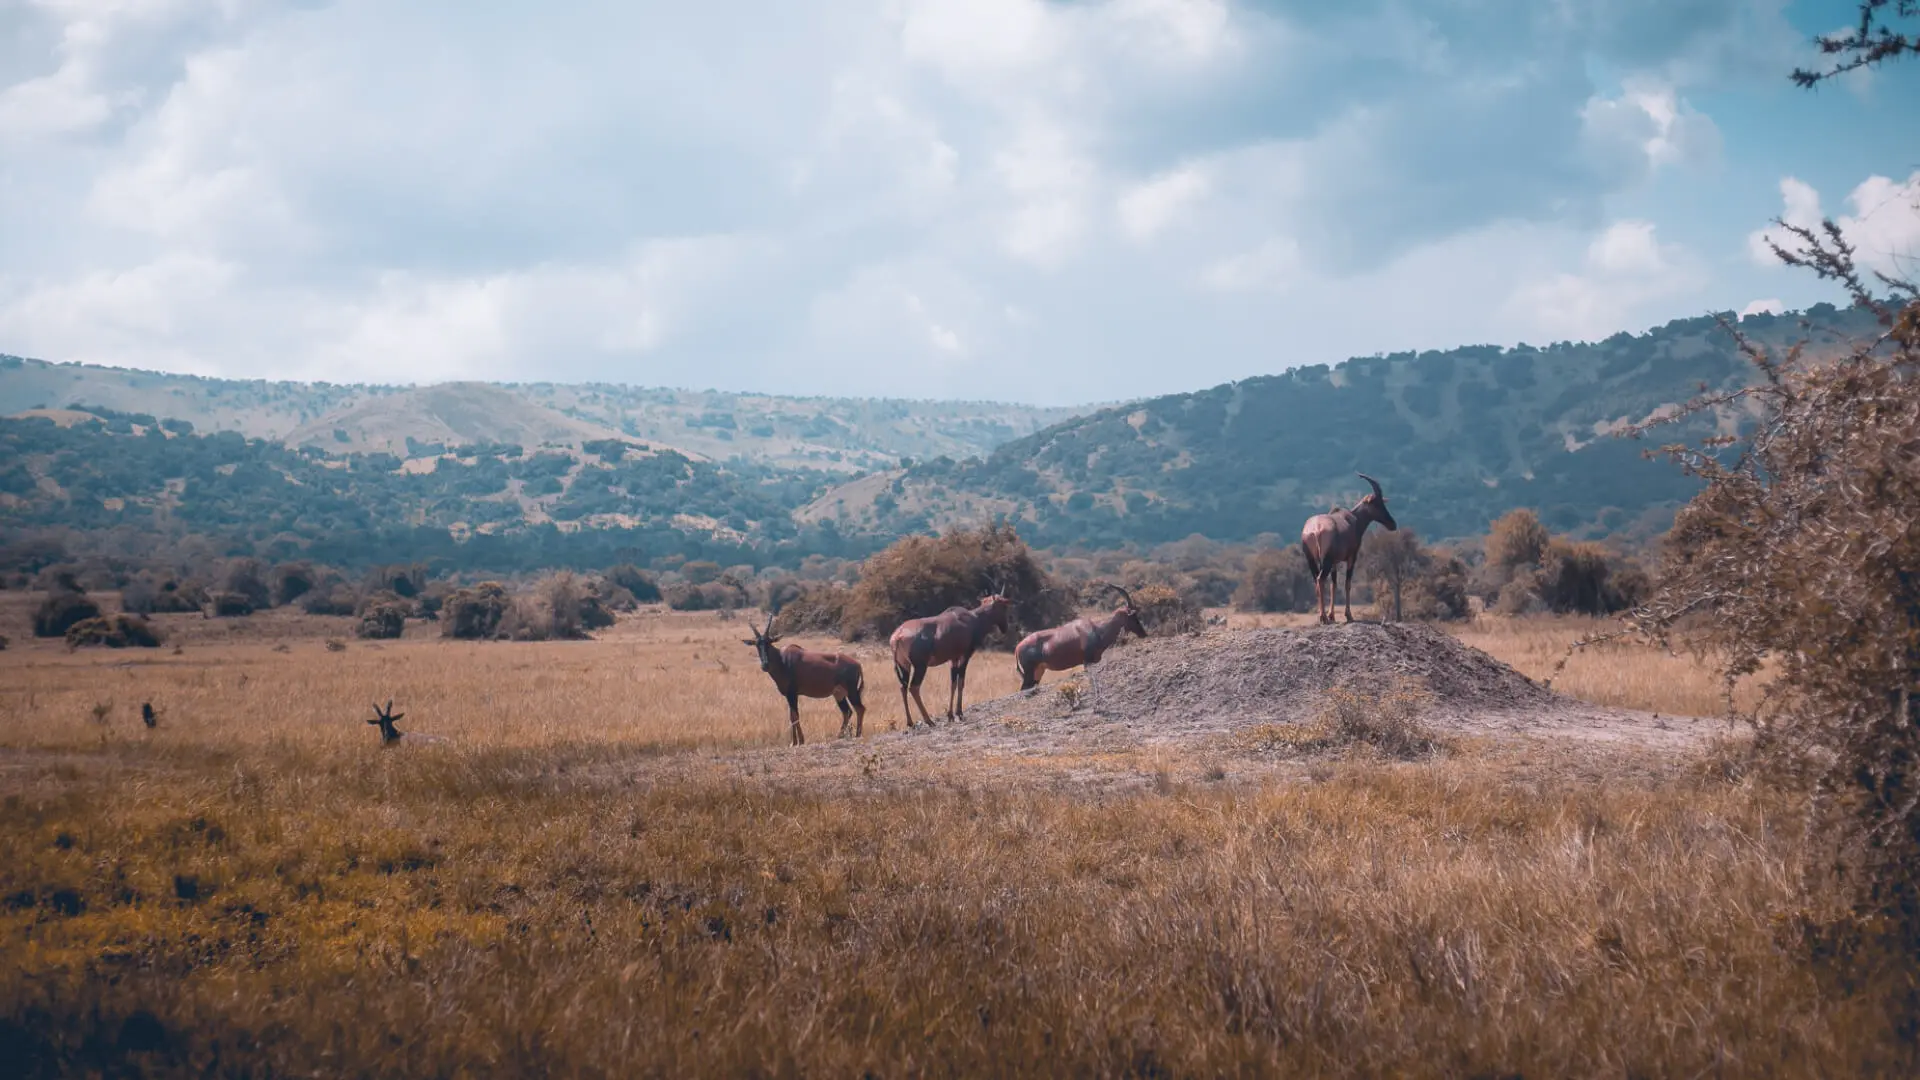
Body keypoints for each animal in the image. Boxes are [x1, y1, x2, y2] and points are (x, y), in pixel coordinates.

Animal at [742, 611, 867, 745]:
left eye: (769, 643)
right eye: (757, 644)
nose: (765, 665)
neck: (783, 660)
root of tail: (857, 664)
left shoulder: (792, 694)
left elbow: (795, 716)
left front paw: (798, 741)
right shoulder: (789, 695)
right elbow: (792, 716)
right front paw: (796, 741)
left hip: (852, 691)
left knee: (860, 708)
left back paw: (857, 735)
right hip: (839, 694)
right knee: (847, 711)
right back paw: (840, 736)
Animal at [889, 587, 1012, 727]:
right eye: (1003, 606)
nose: (1005, 628)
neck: (972, 619)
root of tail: (898, 636)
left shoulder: (953, 658)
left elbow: (952, 683)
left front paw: (950, 715)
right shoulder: (965, 655)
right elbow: (961, 682)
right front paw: (959, 713)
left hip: (904, 665)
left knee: (903, 687)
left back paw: (910, 722)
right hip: (920, 666)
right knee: (914, 688)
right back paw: (929, 721)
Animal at [1014, 583, 1148, 706]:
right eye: (1133, 616)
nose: (1144, 633)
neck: (1095, 629)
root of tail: (1018, 647)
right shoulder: (1087, 662)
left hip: (1038, 673)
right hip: (1029, 673)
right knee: (1023, 690)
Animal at [1300, 472, 1398, 624]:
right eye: (1377, 503)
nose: (1392, 524)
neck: (1352, 518)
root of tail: (1316, 529)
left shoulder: (1334, 562)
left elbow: (1334, 584)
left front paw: (1332, 616)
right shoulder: (1352, 557)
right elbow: (1347, 583)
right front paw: (1349, 616)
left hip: (1311, 559)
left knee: (1317, 580)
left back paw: (1323, 617)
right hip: (1326, 561)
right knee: (1320, 580)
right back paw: (1323, 618)